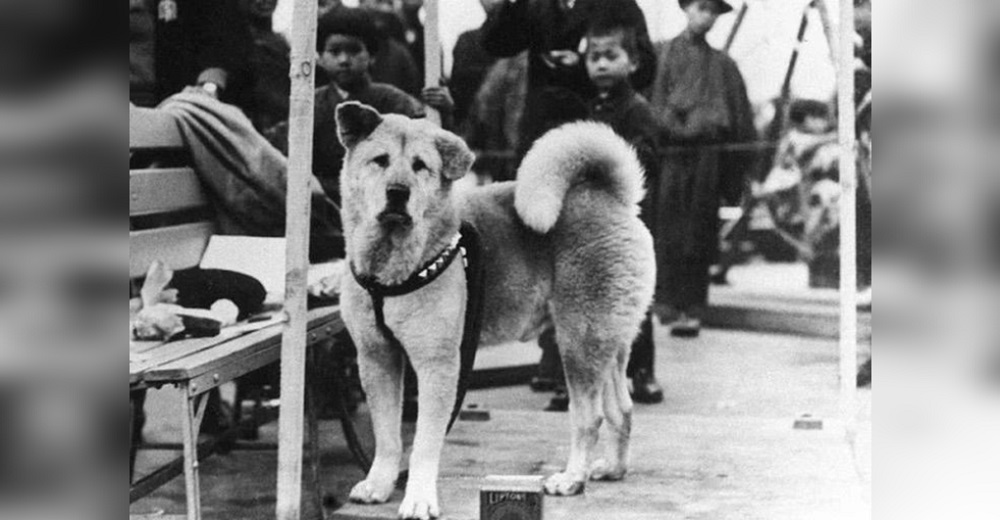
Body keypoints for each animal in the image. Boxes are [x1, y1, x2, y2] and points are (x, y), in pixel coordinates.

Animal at [334, 102, 656, 520]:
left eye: (421, 166)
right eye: (380, 160)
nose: (397, 192)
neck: (391, 269)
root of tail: (611, 198)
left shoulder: (439, 366)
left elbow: (423, 442)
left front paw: (418, 497)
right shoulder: (376, 359)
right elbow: (387, 436)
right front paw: (379, 484)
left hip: (578, 343)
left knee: (590, 417)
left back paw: (571, 479)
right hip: (608, 343)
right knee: (622, 409)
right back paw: (612, 469)